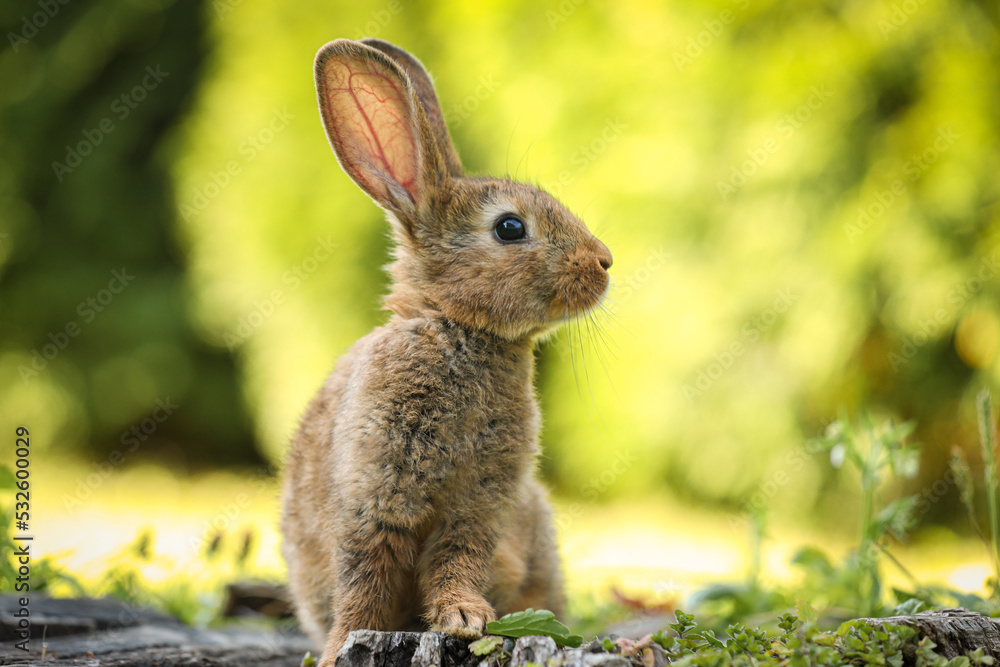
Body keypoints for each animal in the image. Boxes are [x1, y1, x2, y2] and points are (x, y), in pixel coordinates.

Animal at [280, 37, 613, 666]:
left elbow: (456, 561)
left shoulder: (478, 506)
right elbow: (365, 583)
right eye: (510, 228)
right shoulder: (375, 498)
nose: (605, 262)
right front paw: (340, 650)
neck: (459, 329)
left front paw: (464, 619)